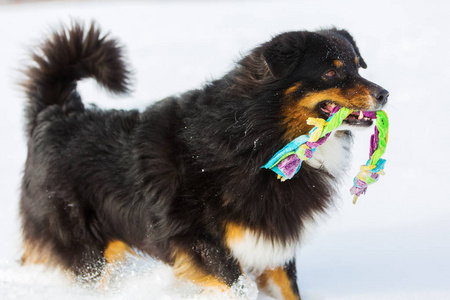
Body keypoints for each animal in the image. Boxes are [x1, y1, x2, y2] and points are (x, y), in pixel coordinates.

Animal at [20, 22, 386, 298]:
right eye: (330, 73)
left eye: (357, 65)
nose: (384, 94)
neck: (257, 137)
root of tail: (56, 114)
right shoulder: (201, 242)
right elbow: (238, 285)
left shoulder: (273, 239)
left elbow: (289, 289)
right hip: (86, 249)